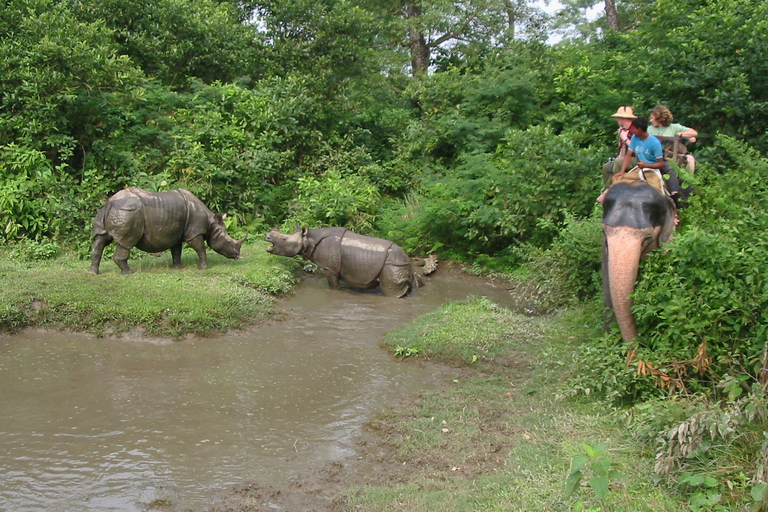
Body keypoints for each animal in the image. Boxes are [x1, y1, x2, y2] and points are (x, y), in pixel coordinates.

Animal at [89, 187, 248, 274]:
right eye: (227, 241)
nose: (237, 256)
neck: (211, 223)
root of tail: (110, 202)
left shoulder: (176, 233)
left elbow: (176, 250)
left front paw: (178, 267)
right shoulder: (194, 232)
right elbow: (200, 249)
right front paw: (204, 268)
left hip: (110, 211)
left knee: (100, 239)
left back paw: (93, 273)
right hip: (128, 212)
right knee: (126, 242)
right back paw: (128, 273)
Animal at [262, 226, 420, 298]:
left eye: (284, 239)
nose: (267, 236)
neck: (308, 239)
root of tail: (408, 260)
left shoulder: (329, 267)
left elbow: (333, 285)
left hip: (393, 265)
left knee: (391, 293)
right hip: (399, 264)